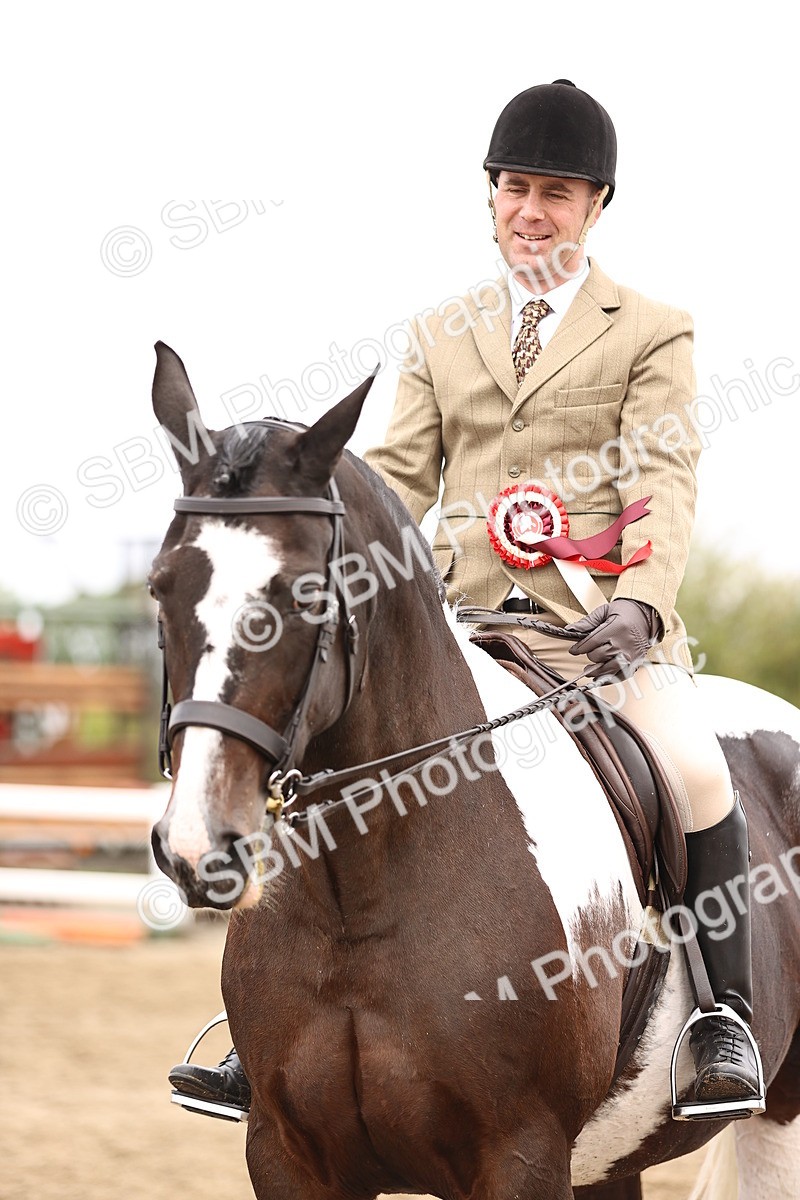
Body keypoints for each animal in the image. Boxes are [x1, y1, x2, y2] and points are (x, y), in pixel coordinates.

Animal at [149, 341, 800, 1200]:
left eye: (302, 592)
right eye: (161, 586)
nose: (197, 846)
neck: (361, 898)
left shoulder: (521, 1153)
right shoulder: (288, 1155)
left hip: (776, 1116)